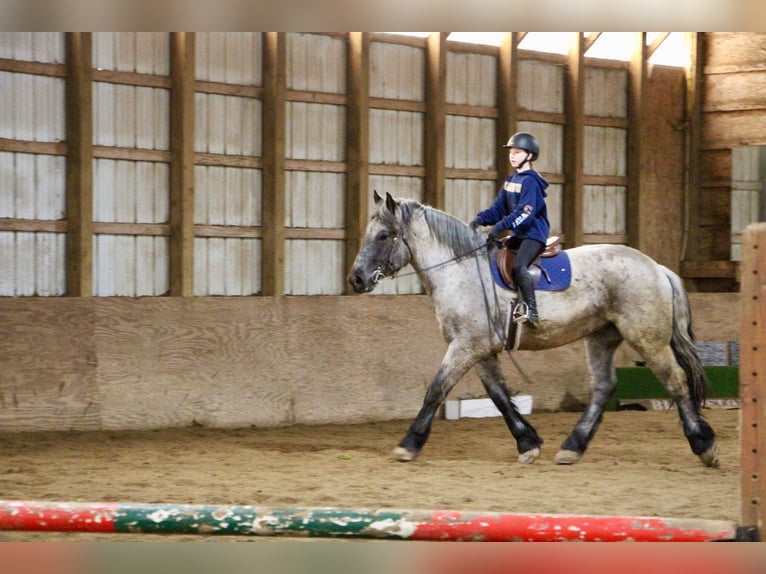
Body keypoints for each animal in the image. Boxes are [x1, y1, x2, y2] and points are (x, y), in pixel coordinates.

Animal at [348, 191, 720, 470]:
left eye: (383, 235)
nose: (356, 279)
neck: (461, 271)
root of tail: (656, 267)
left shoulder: (466, 347)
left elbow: (435, 390)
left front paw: (408, 444)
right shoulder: (480, 350)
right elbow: (499, 396)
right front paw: (528, 443)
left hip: (647, 339)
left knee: (675, 381)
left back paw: (704, 445)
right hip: (601, 337)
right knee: (603, 387)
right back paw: (572, 447)